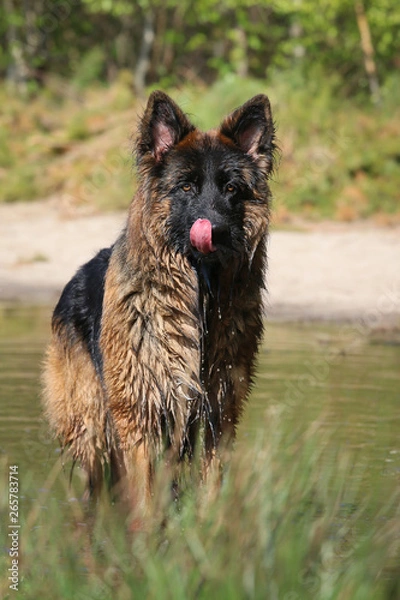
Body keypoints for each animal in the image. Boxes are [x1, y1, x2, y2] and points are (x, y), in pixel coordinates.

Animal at [43, 90, 276, 520]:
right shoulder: (141, 410)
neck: (198, 298)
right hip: (92, 425)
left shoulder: (219, 408)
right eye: (185, 187)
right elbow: (147, 496)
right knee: (94, 485)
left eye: (231, 188)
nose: (215, 230)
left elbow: (211, 480)